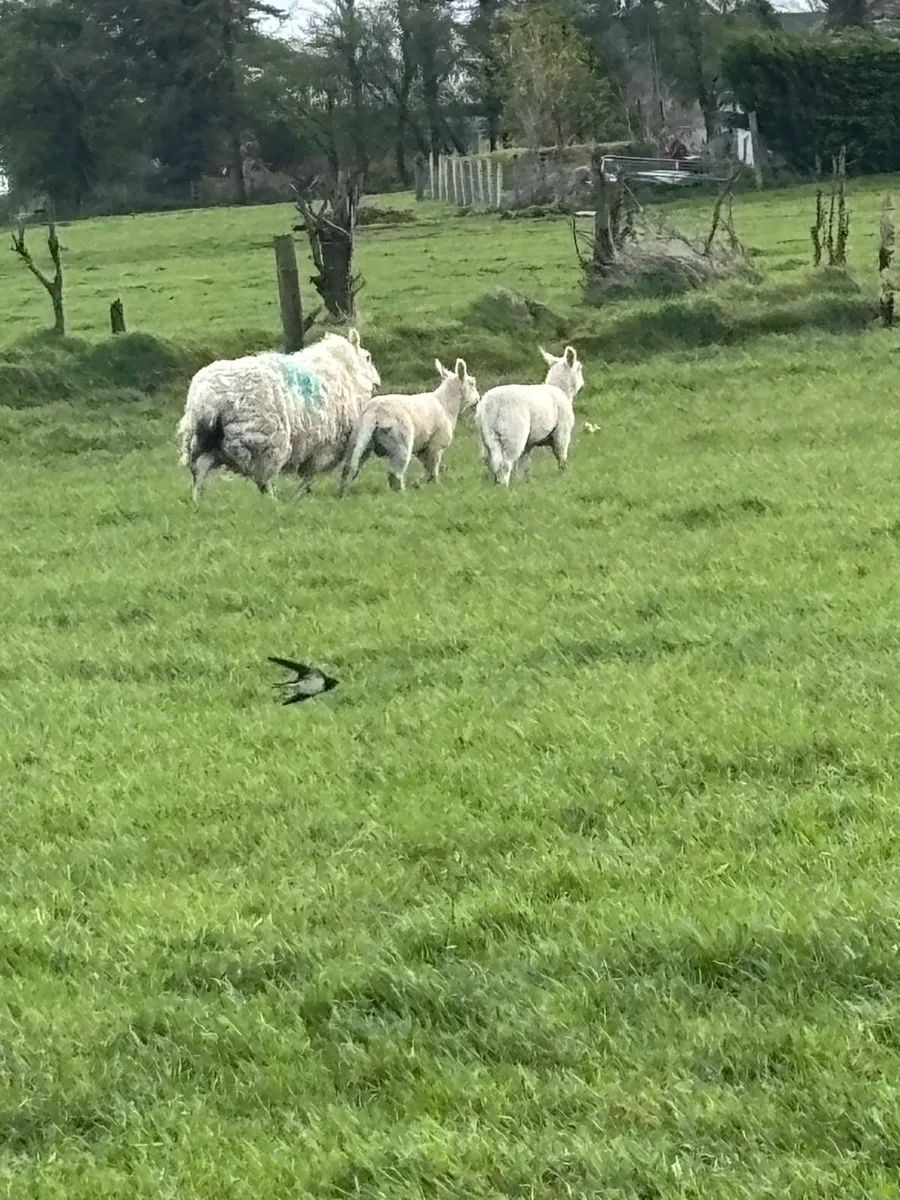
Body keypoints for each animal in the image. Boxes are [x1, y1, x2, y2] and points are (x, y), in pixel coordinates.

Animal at [177, 329, 381, 502]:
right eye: (368, 357)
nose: (378, 382)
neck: (346, 369)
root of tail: (209, 398)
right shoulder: (325, 444)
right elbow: (310, 473)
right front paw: (302, 494)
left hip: (201, 442)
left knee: (199, 472)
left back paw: (198, 502)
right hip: (264, 442)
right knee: (263, 478)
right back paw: (273, 502)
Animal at [340, 357, 479, 495]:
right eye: (472, 383)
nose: (478, 399)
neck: (446, 404)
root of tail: (374, 411)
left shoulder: (423, 447)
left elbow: (427, 468)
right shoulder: (435, 445)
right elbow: (433, 469)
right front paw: (435, 485)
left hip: (358, 438)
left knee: (349, 467)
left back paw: (343, 491)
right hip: (400, 441)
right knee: (394, 474)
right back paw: (402, 494)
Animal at [476, 344, 584, 486]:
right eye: (579, 368)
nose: (583, 383)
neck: (562, 390)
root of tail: (490, 406)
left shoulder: (530, 442)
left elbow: (523, 462)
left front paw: (522, 481)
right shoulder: (562, 430)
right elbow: (561, 455)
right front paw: (564, 475)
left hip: (487, 436)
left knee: (490, 461)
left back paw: (492, 485)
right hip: (513, 433)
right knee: (505, 463)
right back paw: (504, 487)